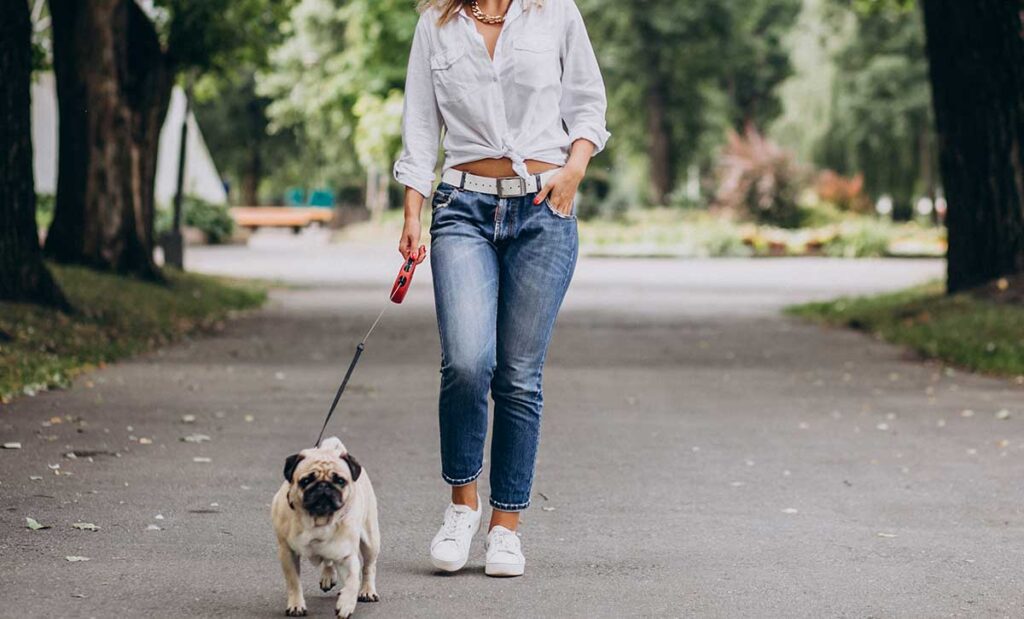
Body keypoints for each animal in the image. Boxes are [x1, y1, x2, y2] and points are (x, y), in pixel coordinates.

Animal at [272, 438, 380, 614]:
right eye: (306, 481)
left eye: (340, 481)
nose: (323, 485)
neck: (318, 520)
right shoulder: (287, 552)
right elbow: (294, 582)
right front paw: (296, 605)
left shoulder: (346, 555)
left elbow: (353, 581)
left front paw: (346, 604)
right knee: (329, 561)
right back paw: (328, 576)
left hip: (371, 541)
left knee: (369, 567)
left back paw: (367, 591)